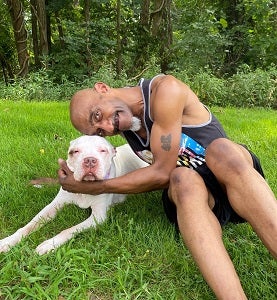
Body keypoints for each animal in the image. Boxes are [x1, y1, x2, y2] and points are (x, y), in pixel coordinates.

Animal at [0, 136, 147, 255]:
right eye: (75, 152)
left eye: (102, 150)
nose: (90, 160)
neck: (84, 187)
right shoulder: (54, 205)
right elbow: (30, 225)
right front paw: (8, 241)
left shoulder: (98, 217)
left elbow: (69, 230)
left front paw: (50, 244)